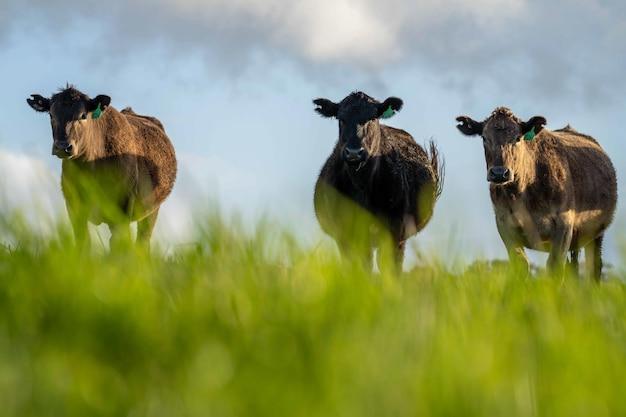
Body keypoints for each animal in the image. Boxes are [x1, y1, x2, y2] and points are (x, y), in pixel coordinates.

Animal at [26, 85, 176, 250]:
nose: (62, 147)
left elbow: (118, 244)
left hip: (151, 211)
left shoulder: (122, 208)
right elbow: (83, 241)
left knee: (142, 241)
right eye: (51, 114)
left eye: (83, 115)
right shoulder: (74, 206)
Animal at [454, 106, 616, 280]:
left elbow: (554, 267)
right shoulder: (504, 225)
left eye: (518, 138)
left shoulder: (564, 225)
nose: (499, 173)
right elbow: (521, 264)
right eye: (484, 138)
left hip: (595, 233)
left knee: (594, 268)